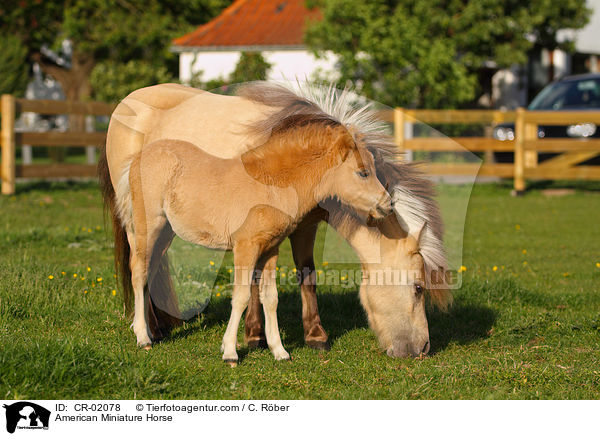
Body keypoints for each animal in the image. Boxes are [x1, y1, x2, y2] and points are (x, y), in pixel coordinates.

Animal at [100, 83, 392, 362]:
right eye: (363, 172)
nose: (388, 204)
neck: (272, 182)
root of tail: (139, 157)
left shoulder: (270, 248)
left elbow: (270, 297)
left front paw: (279, 351)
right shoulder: (245, 247)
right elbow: (240, 297)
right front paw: (230, 352)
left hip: (165, 231)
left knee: (150, 270)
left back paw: (153, 331)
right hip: (148, 225)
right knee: (138, 271)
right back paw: (143, 337)